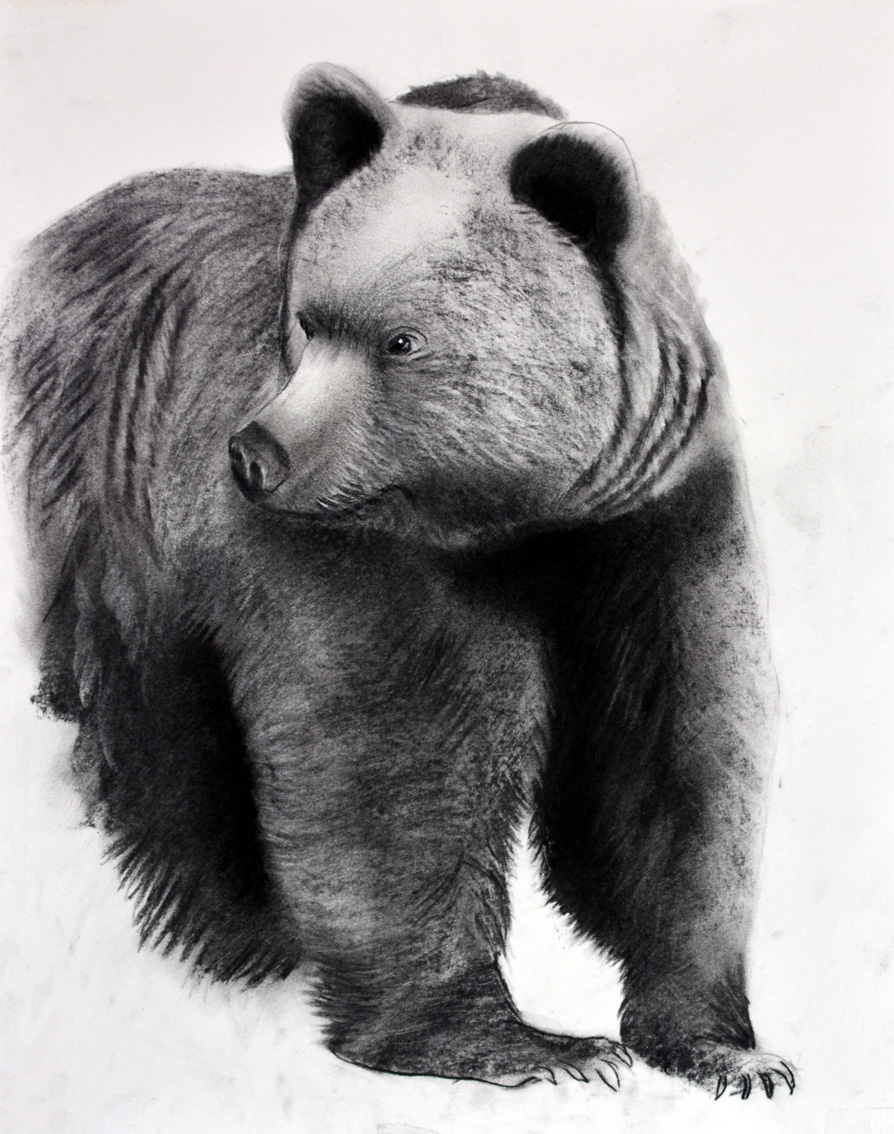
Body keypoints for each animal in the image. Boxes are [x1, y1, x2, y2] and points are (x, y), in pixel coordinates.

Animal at [3, 64, 794, 1099]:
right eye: (308, 320)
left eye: (401, 341)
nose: (257, 454)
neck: (516, 521)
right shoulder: (350, 553)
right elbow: (394, 754)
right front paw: (524, 1046)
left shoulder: (650, 520)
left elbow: (676, 744)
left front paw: (725, 1045)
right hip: (101, 516)